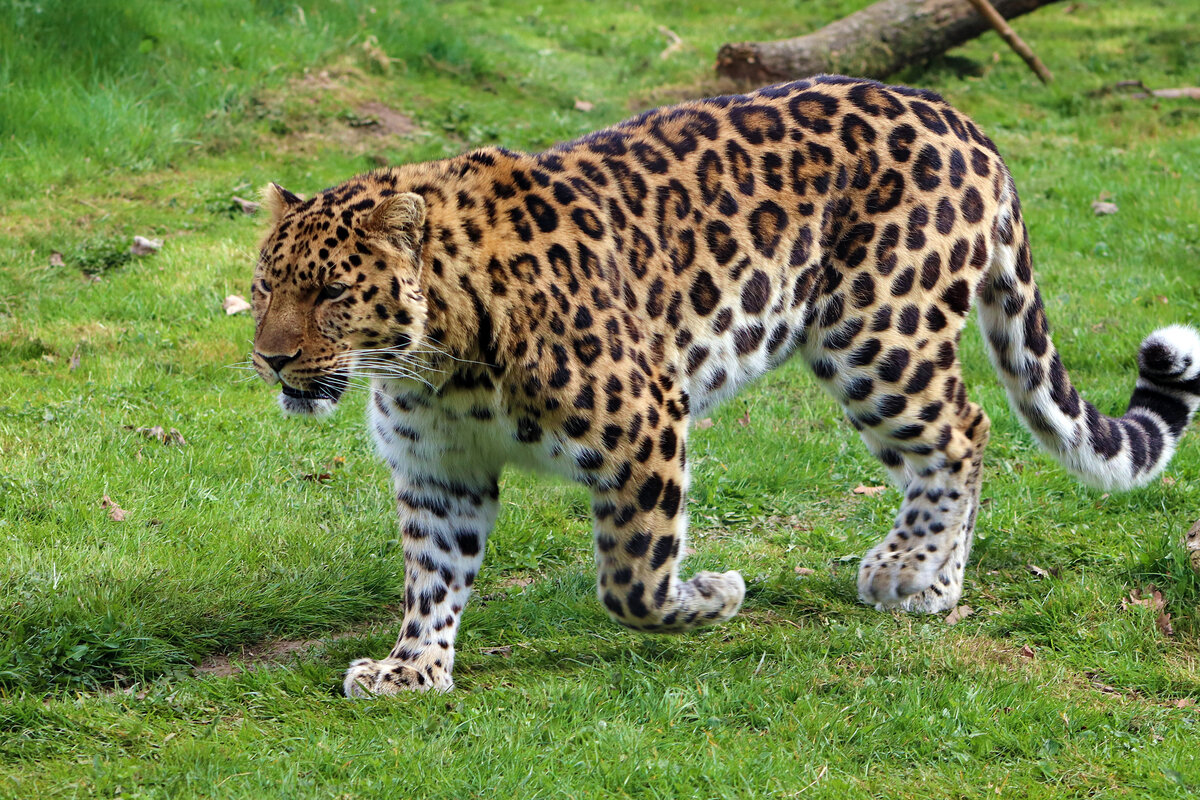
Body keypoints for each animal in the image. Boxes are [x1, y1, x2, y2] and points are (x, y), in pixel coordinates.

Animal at [246, 77, 1200, 695]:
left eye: (331, 293)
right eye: (264, 287)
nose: (271, 360)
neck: (438, 361)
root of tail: (966, 122)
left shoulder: (644, 423)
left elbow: (631, 582)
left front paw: (712, 595)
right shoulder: (439, 471)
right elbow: (433, 577)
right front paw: (412, 669)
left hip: (876, 334)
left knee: (965, 430)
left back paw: (910, 570)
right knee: (950, 443)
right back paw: (934, 583)